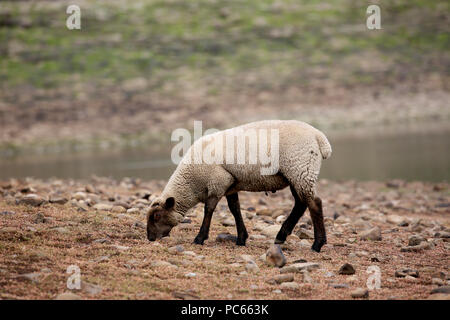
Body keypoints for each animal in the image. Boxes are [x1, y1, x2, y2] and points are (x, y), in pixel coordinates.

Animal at [146, 120, 332, 252]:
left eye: (157, 216)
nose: (150, 238)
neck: (191, 182)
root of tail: (320, 137)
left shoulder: (217, 182)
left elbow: (209, 209)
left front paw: (200, 238)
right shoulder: (230, 184)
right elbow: (235, 209)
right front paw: (241, 238)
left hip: (301, 169)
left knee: (314, 203)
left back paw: (317, 244)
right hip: (296, 174)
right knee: (301, 204)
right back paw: (281, 236)